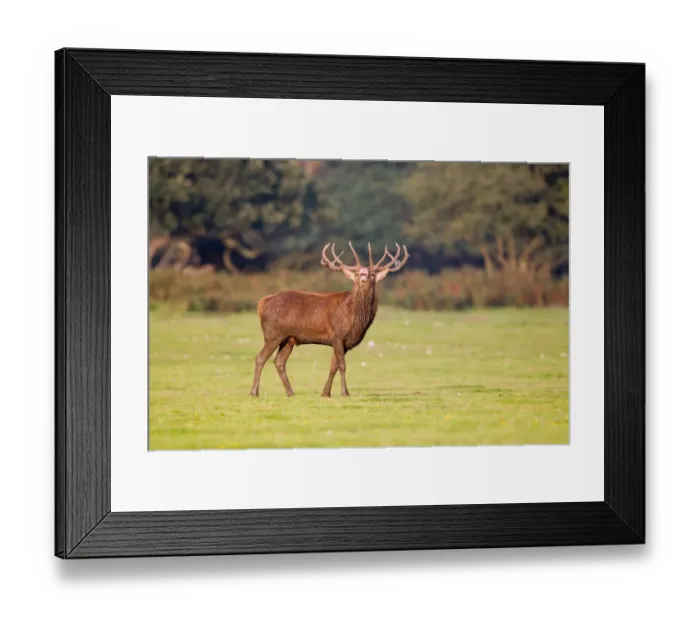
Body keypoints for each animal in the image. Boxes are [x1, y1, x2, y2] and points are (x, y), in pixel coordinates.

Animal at [250, 241, 409, 398]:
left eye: (373, 274)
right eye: (357, 273)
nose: (364, 274)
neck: (353, 317)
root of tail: (261, 303)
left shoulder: (342, 342)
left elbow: (334, 366)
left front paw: (326, 393)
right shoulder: (337, 335)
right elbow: (342, 365)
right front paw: (344, 393)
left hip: (289, 338)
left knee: (279, 361)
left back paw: (290, 392)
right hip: (273, 334)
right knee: (260, 357)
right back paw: (254, 392)